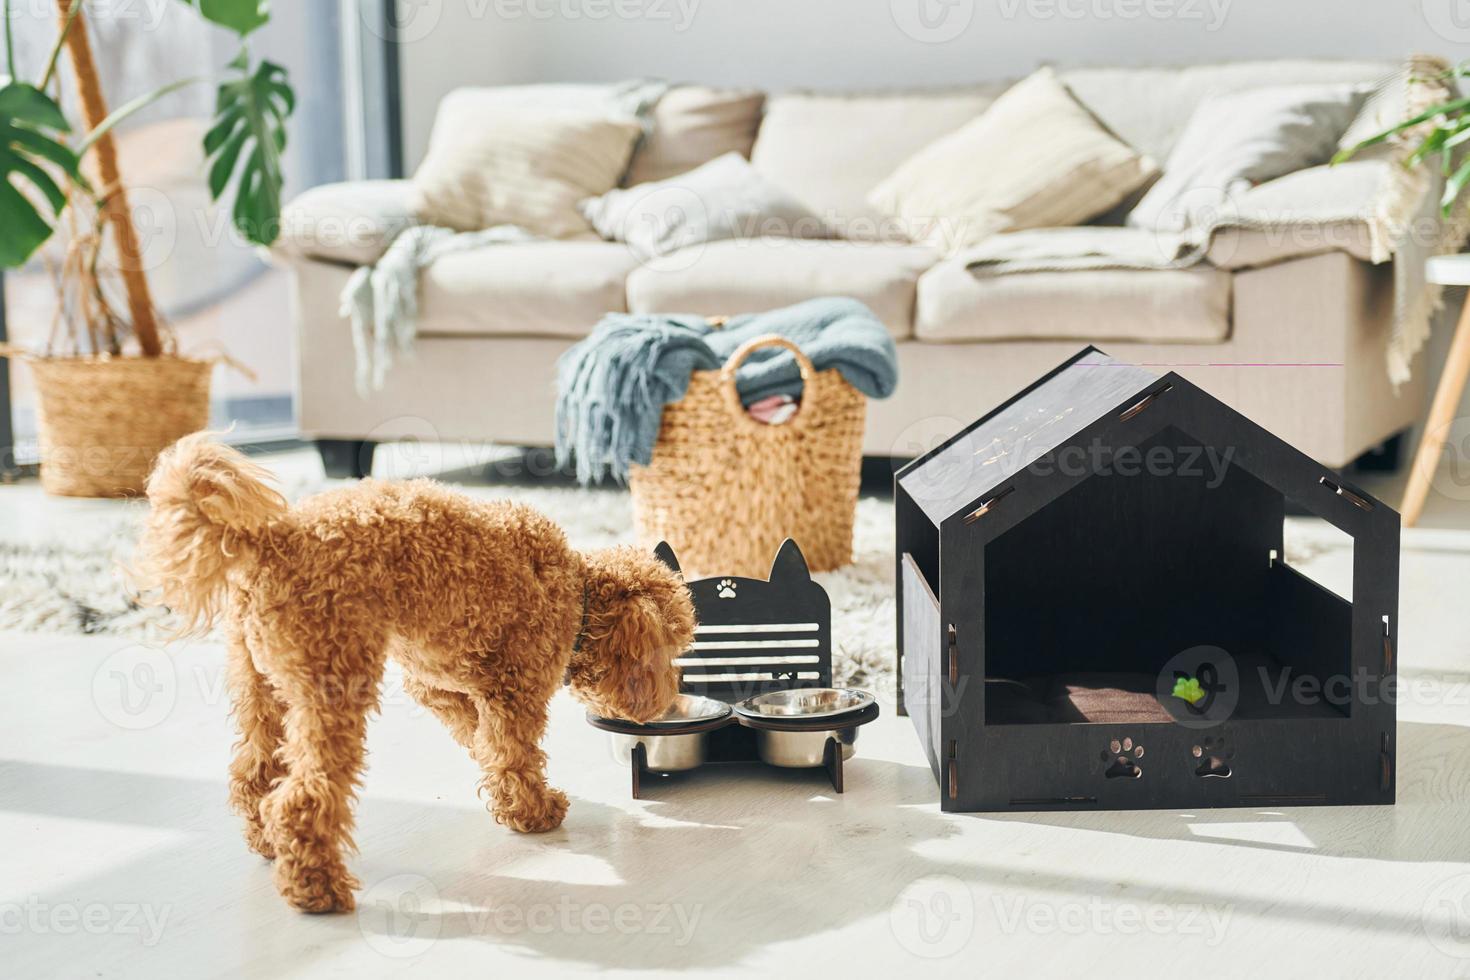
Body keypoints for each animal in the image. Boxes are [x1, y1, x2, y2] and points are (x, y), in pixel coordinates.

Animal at [138, 434, 693, 910]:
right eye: (671, 651)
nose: (670, 700)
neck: (575, 593)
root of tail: (272, 541)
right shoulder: (514, 692)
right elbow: (514, 753)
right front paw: (533, 813)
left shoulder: (438, 686)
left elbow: (484, 743)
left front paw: (506, 797)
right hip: (333, 687)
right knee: (301, 798)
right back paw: (316, 889)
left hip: (260, 684)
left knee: (253, 775)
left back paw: (267, 842)